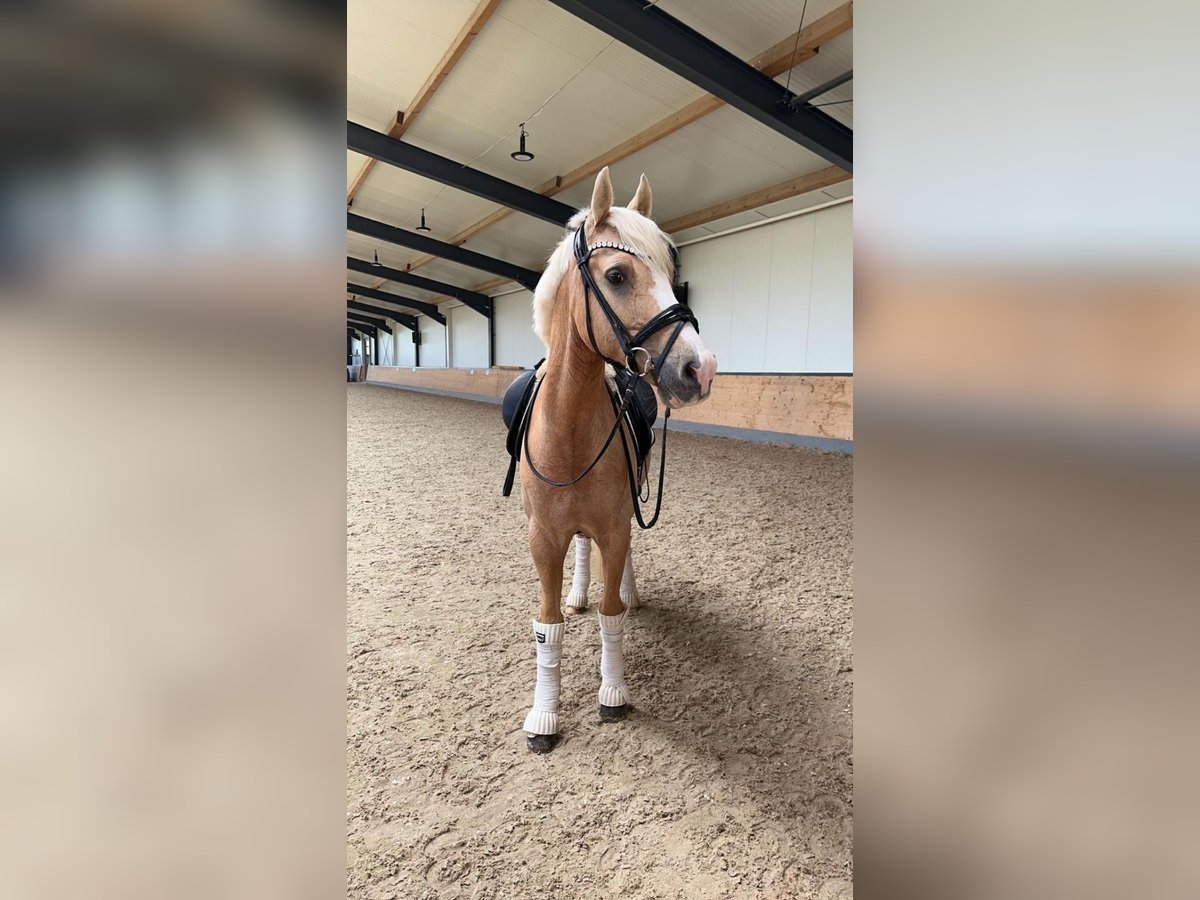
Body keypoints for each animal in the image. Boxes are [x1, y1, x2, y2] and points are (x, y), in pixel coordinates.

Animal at [516, 166, 717, 752]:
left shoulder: (613, 523)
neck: (568, 434)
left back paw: (625, 588)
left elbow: (611, 616)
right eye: (617, 275)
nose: (702, 369)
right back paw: (580, 590)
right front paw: (543, 716)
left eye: (672, 274)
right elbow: (548, 625)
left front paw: (613, 693)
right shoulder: (543, 539)